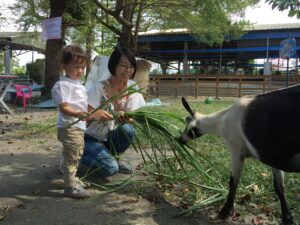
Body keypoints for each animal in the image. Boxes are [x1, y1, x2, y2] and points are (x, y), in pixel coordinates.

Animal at [179, 84, 300, 225]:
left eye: (190, 126)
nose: (180, 139)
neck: (224, 120)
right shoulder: (273, 157)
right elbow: (279, 187)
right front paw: (287, 218)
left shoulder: (237, 151)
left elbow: (233, 182)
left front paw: (225, 211)